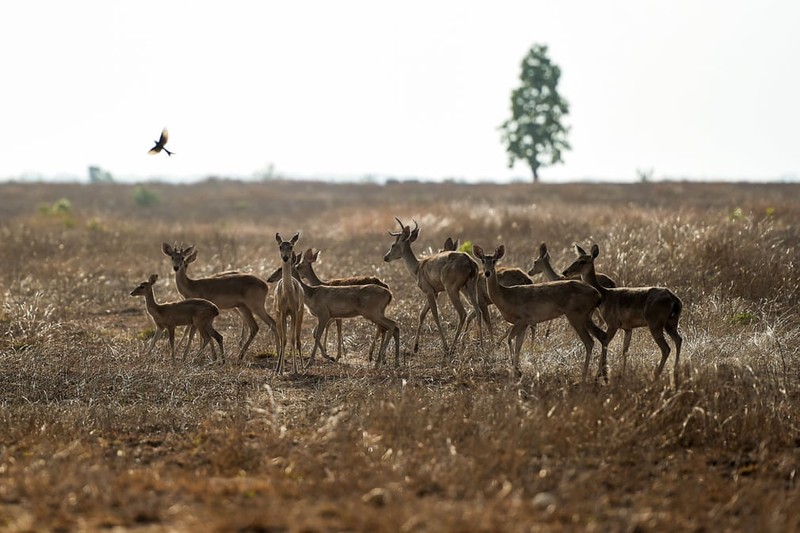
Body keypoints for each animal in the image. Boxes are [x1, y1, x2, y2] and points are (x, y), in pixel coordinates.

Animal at [384, 218, 484, 360]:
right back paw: (482, 347)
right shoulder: (434, 292)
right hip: (470, 287)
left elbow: (435, 316)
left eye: (393, 245)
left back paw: (452, 349)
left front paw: (445, 348)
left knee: (463, 313)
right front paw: (415, 348)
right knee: (478, 310)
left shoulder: (429, 291)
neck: (417, 268)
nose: (386, 257)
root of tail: (471, 263)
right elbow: (421, 314)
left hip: (452, 289)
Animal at [472, 243, 604, 376]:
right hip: (586, 317)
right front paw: (518, 369)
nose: (487, 273)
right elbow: (518, 346)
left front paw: (515, 368)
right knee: (601, 337)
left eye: (494, 260)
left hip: (577, 316)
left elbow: (510, 339)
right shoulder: (524, 324)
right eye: (482, 260)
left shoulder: (521, 319)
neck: (505, 295)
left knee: (589, 342)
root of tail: (598, 294)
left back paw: (584, 374)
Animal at [564, 243, 680, 384]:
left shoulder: (613, 322)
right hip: (671, 322)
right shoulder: (627, 327)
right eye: (575, 259)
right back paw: (675, 371)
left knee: (666, 348)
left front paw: (600, 377)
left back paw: (656, 375)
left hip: (655, 322)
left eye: (582, 261)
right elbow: (624, 350)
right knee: (679, 340)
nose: (565, 272)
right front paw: (622, 375)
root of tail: (675, 300)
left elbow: (605, 343)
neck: (605, 296)